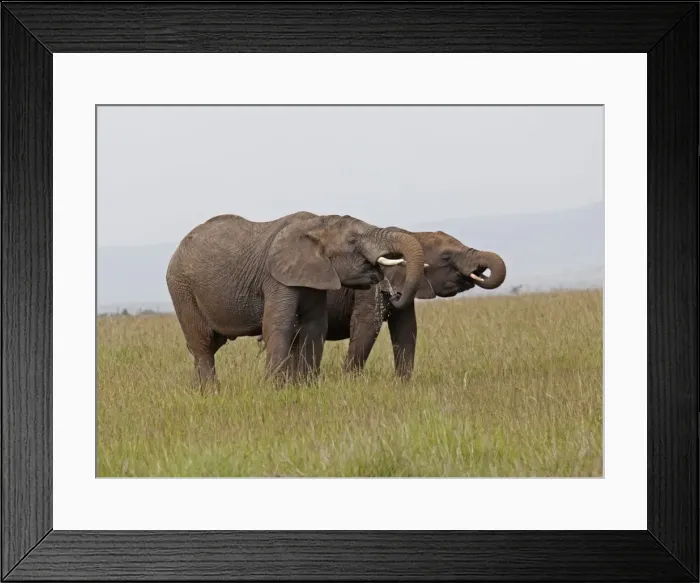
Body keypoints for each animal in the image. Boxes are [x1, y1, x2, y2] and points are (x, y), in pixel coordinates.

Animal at [165, 212, 426, 388]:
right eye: (352, 241)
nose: (394, 295)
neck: (317, 223)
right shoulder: (276, 277)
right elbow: (279, 324)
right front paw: (273, 388)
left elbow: (315, 327)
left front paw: (306, 386)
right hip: (181, 288)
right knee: (202, 342)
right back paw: (212, 392)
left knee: (210, 343)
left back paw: (197, 391)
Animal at [319, 229, 506, 379]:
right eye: (446, 256)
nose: (391, 295)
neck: (412, 235)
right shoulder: (370, 288)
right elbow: (367, 325)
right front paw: (349, 383)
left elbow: (406, 328)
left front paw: (402, 385)